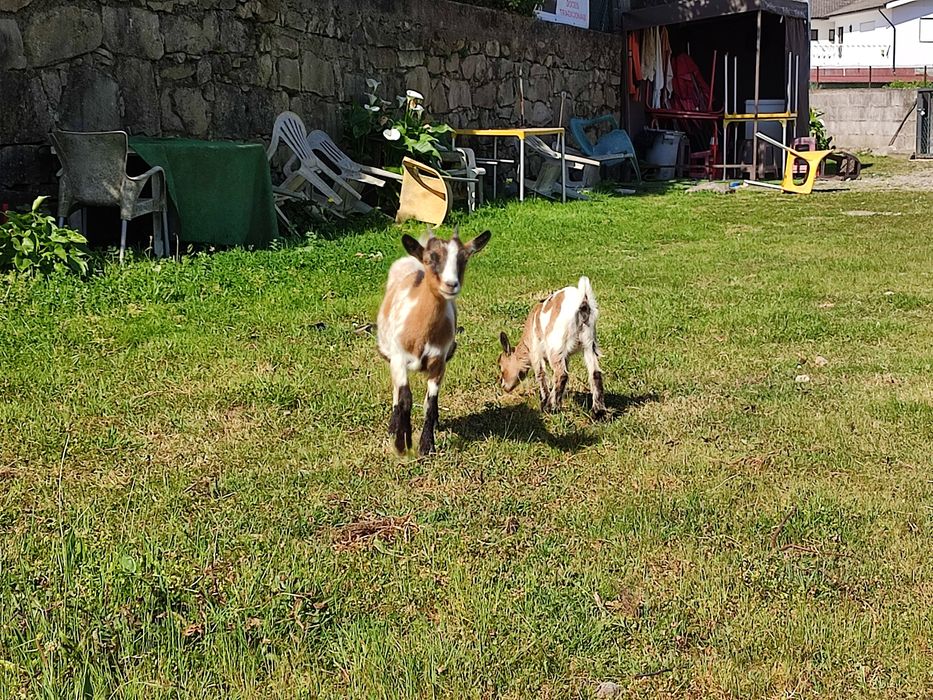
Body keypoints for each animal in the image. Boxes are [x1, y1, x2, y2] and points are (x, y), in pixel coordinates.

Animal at [377, 226, 491, 455]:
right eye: (430, 259)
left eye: (464, 258)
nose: (451, 284)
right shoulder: (399, 358)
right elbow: (405, 398)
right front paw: (402, 441)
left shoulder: (438, 361)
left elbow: (429, 403)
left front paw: (426, 445)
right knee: (396, 391)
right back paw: (393, 426)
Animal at [498, 276, 607, 419]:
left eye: (501, 366)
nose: (503, 386)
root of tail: (582, 303)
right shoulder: (565, 356)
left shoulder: (535, 352)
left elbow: (540, 374)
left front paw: (545, 401)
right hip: (589, 342)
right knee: (595, 373)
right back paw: (598, 412)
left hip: (555, 345)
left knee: (561, 374)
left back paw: (549, 408)